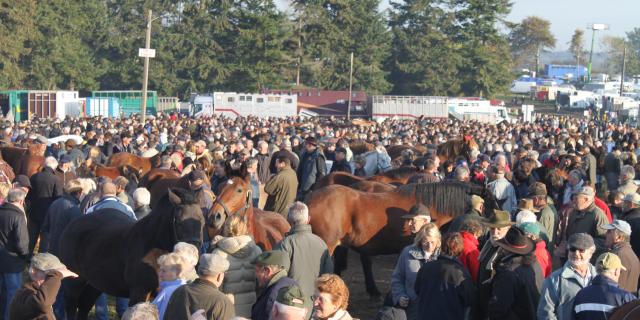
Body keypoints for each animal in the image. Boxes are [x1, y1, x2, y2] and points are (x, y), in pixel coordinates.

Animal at [60, 189, 202, 318]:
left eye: (202, 220)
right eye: (178, 221)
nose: (193, 249)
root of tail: (73, 223)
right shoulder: (139, 292)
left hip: (96, 282)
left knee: (85, 305)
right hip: (74, 281)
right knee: (71, 306)